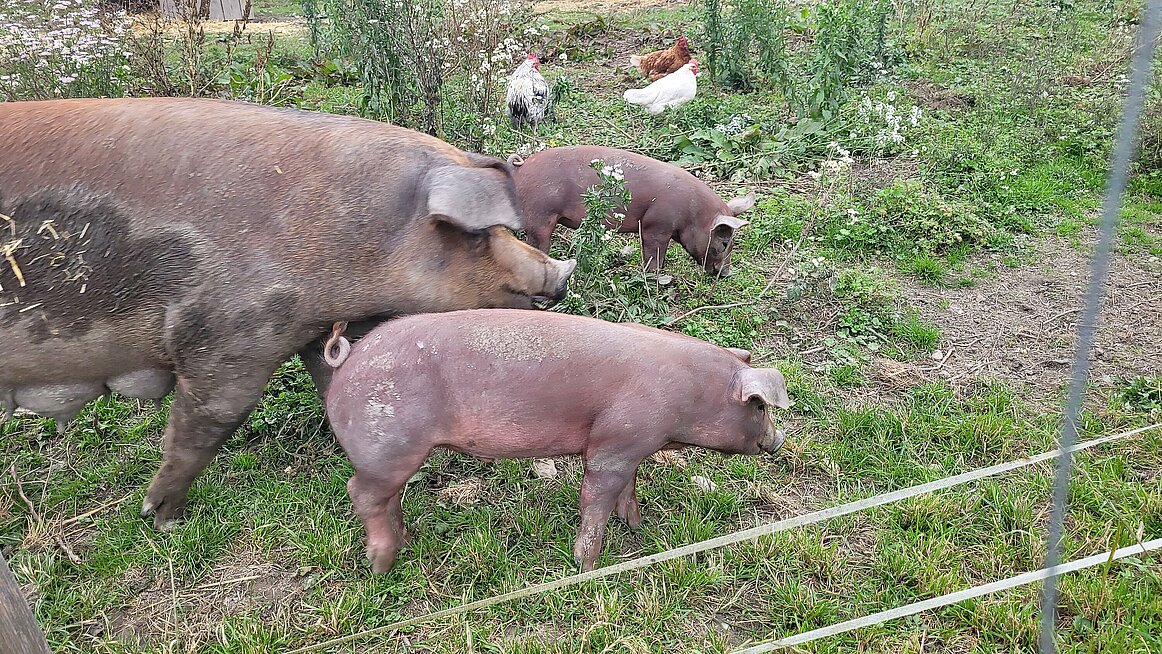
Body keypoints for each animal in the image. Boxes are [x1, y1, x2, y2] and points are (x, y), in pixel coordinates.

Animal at [0, 97, 576, 530]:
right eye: (478, 234)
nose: (561, 275)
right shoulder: (228, 339)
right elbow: (204, 425)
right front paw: (160, 518)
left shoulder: (317, 330)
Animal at [322, 309, 791, 573]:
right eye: (760, 407)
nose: (780, 438)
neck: (690, 394)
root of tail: (350, 357)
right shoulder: (614, 442)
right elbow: (596, 496)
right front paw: (587, 566)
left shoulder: (633, 443)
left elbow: (629, 486)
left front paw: (637, 526)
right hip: (386, 445)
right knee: (361, 492)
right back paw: (380, 565)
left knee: (388, 496)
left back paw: (405, 542)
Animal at [510, 145, 755, 276]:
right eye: (725, 242)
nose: (726, 274)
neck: (692, 213)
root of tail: (521, 167)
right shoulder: (656, 225)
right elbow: (653, 253)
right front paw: (656, 276)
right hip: (541, 216)